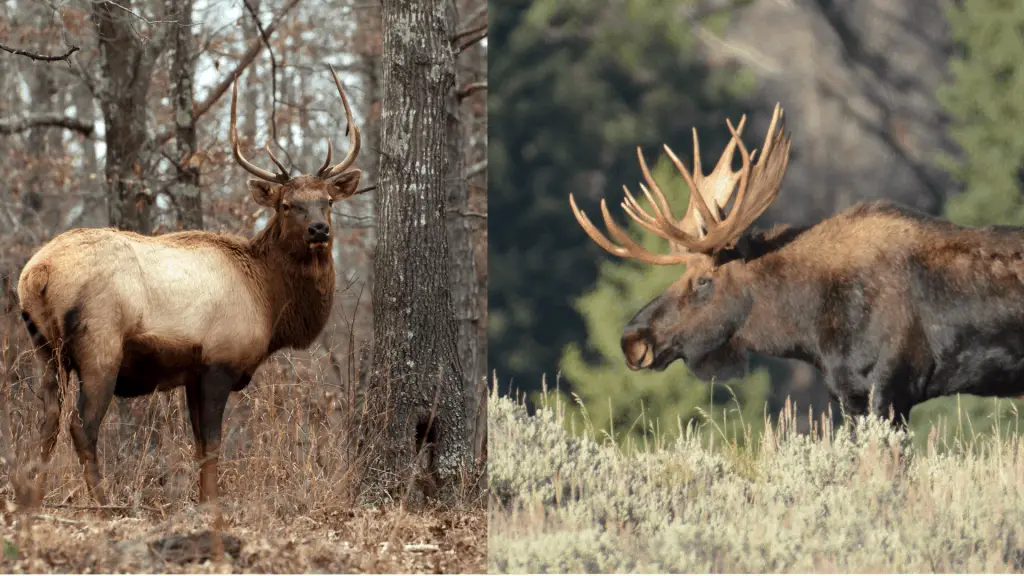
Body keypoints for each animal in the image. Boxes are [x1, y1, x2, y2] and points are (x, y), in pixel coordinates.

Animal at [18, 66, 362, 506]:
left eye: (328, 202)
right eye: (287, 205)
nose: (319, 230)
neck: (269, 301)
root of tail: (37, 274)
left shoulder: (192, 373)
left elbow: (198, 445)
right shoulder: (219, 361)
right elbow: (212, 445)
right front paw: (212, 504)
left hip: (43, 347)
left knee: (46, 420)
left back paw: (31, 497)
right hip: (99, 344)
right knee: (82, 425)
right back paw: (102, 501)